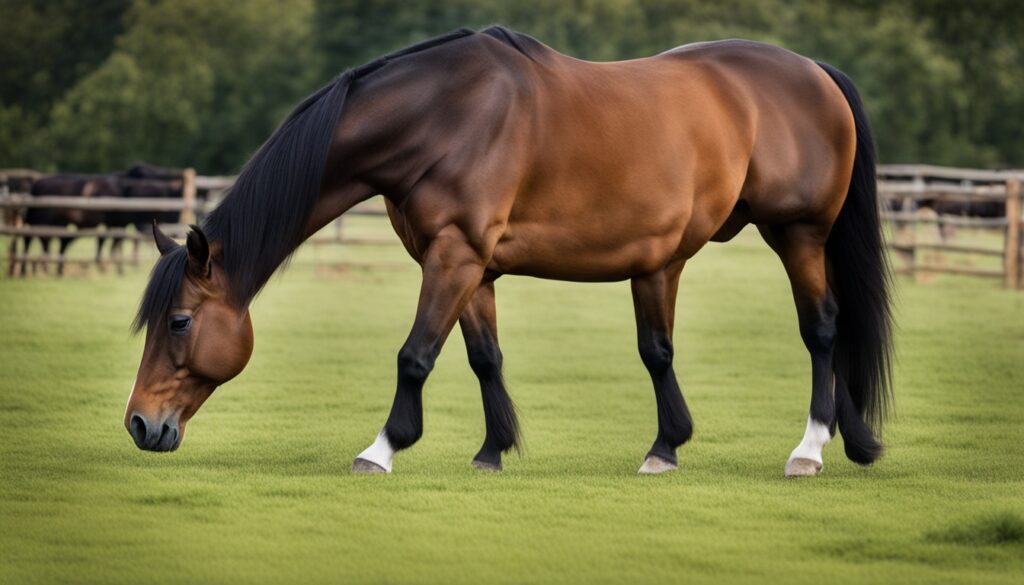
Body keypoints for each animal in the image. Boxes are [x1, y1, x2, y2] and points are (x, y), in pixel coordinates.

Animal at [125, 27, 892, 477]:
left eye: (180, 321)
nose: (140, 423)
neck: (443, 115)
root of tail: (816, 70)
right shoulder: (472, 265)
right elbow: (483, 356)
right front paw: (493, 451)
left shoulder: (455, 257)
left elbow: (415, 355)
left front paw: (383, 446)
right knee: (828, 329)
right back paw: (853, 441)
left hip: (798, 233)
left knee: (822, 329)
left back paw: (809, 447)